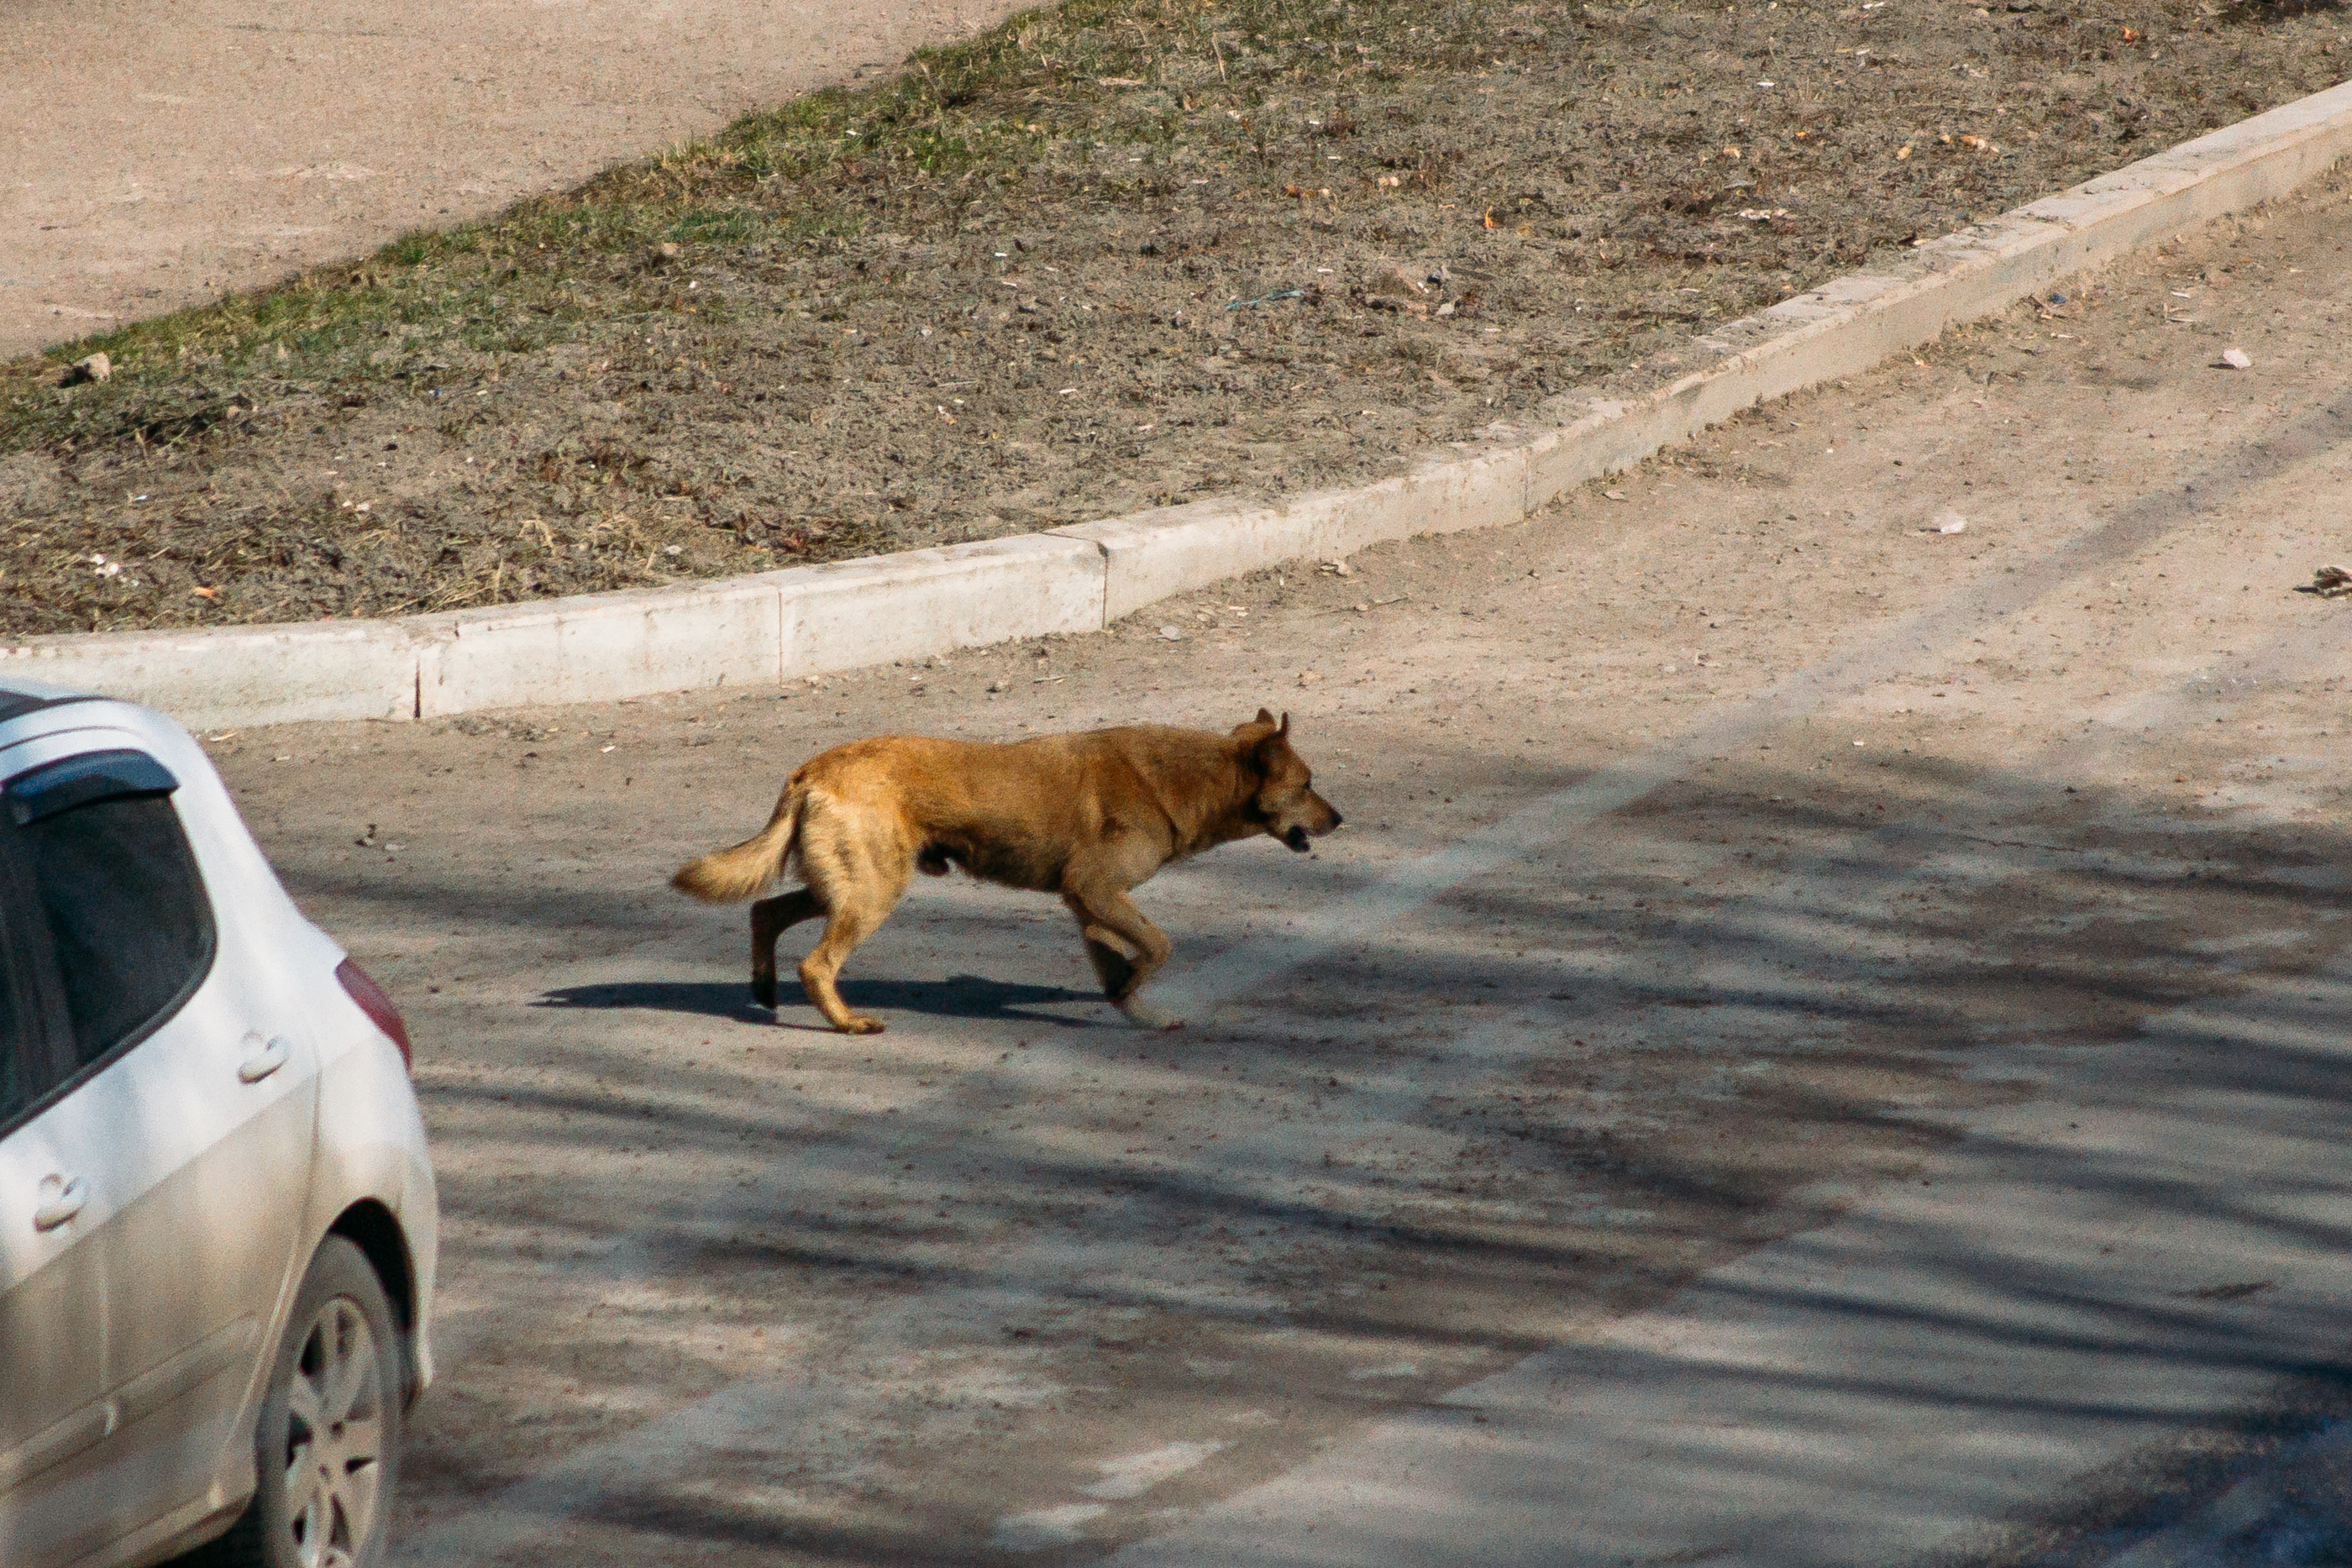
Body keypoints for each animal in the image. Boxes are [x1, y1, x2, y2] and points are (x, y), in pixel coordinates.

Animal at [677, 710, 1345, 1030]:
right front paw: (1137, 986)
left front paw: (1137, 1008)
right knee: (816, 963)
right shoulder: (1096, 890)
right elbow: (1159, 947)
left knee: (765, 911)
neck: (1188, 778)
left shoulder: (1089, 904)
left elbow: (1122, 969)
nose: (1340, 818)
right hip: (871, 894)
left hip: (845, 888)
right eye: (1309, 784)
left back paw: (765, 990)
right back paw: (846, 1023)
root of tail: (811, 769)